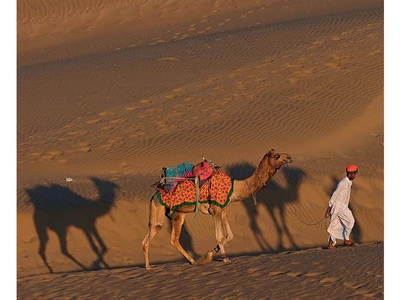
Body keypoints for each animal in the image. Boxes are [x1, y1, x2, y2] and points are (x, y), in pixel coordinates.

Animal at [142, 149, 292, 268]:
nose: (289, 157)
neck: (235, 187)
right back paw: (149, 267)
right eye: (277, 156)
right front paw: (223, 258)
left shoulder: (223, 210)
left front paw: (212, 253)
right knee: (156, 231)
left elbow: (229, 235)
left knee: (170, 239)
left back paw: (193, 261)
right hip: (159, 208)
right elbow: (219, 236)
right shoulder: (215, 210)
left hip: (177, 213)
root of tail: (154, 194)